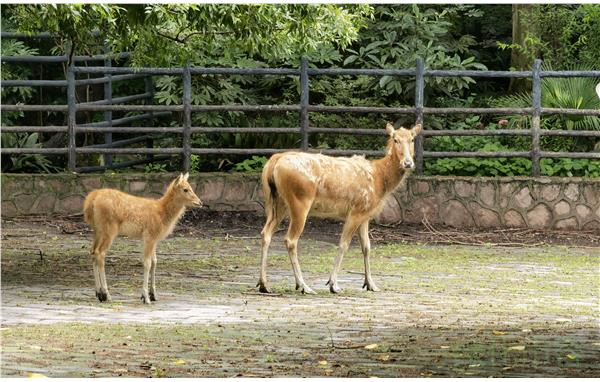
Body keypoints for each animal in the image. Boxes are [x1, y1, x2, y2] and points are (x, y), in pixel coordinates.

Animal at [258, 121, 422, 294]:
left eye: (412, 139)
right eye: (395, 139)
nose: (408, 163)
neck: (380, 180)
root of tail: (273, 163)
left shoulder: (366, 214)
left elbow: (367, 247)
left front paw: (371, 284)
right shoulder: (356, 211)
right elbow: (343, 244)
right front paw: (333, 284)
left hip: (276, 202)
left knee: (266, 233)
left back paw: (264, 284)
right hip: (299, 201)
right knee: (290, 240)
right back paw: (303, 285)